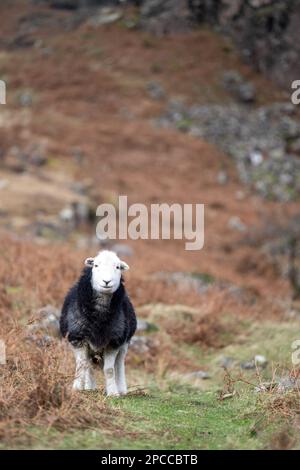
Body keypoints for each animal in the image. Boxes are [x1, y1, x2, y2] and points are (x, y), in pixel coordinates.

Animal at [60, 252, 137, 394]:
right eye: (96, 265)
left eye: (117, 267)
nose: (106, 282)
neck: (99, 318)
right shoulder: (78, 338)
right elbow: (81, 365)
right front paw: (76, 389)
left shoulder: (114, 341)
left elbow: (110, 369)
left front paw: (113, 393)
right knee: (88, 365)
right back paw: (90, 387)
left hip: (125, 343)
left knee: (119, 364)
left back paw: (121, 389)